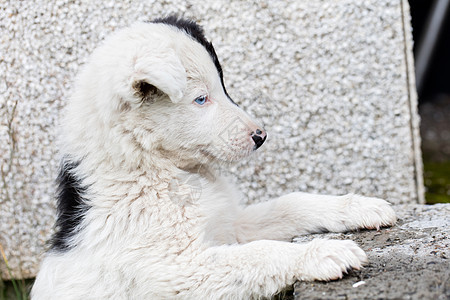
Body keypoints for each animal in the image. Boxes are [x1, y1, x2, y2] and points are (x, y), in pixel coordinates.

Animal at [31, 16, 396, 300]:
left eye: (222, 86)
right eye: (200, 99)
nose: (260, 136)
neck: (158, 167)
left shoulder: (230, 225)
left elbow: (289, 204)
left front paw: (358, 206)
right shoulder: (178, 270)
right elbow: (258, 255)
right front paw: (322, 252)